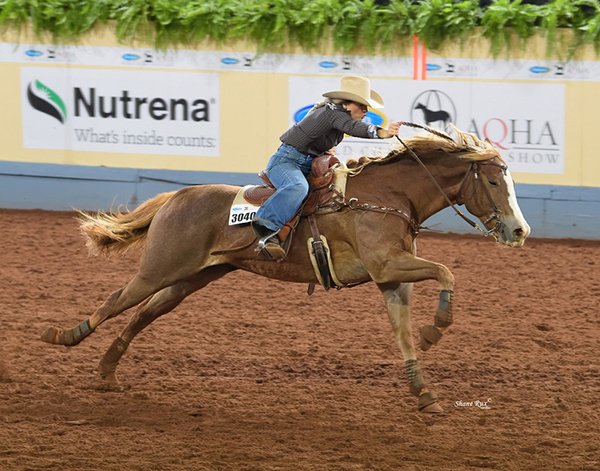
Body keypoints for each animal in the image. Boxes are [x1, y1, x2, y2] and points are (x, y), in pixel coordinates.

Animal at [41, 127, 528, 414]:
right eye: (492, 181)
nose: (519, 230)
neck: (385, 196)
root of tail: (178, 196)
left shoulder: (391, 279)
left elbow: (404, 333)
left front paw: (424, 390)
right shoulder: (389, 265)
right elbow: (447, 271)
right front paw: (437, 327)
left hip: (193, 277)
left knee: (144, 313)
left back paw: (107, 371)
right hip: (160, 269)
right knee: (116, 300)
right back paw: (63, 336)